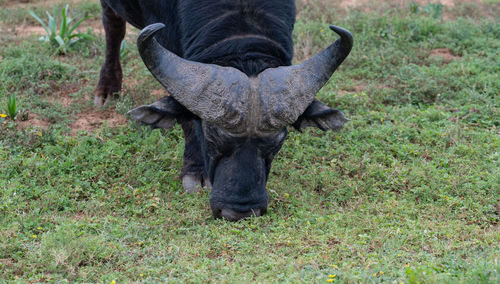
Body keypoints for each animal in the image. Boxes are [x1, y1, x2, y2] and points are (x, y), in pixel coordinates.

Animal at [94, 0, 352, 221]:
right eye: (211, 137)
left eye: (278, 142)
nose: (240, 212)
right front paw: (195, 172)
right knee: (112, 24)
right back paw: (107, 89)